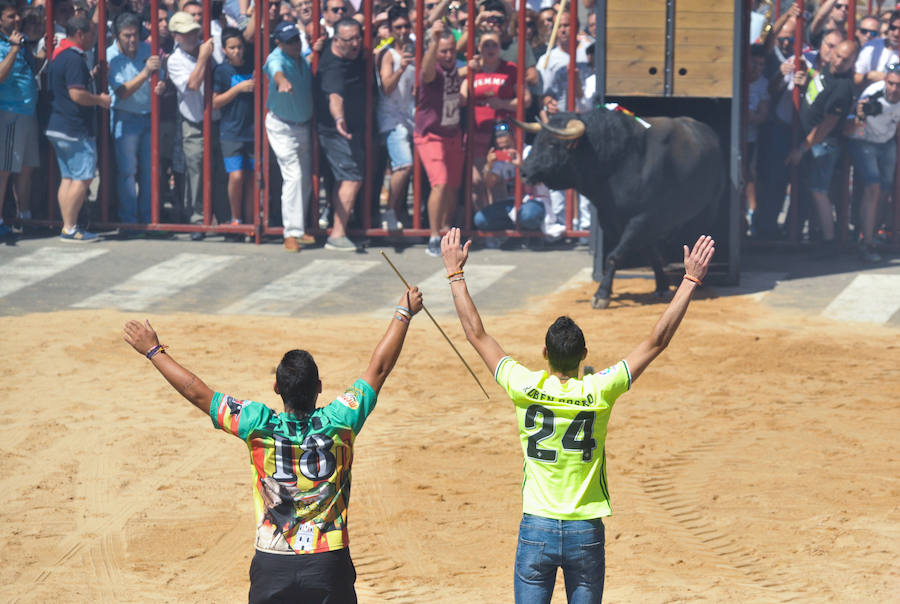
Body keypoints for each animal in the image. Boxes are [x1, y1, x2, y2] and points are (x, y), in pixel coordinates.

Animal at [520, 107, 724, 312]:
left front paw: (602, 294)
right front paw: (662, 286)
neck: (617, 162)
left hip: (708, 208)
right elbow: (650, 252)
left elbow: (615, 256)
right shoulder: (613, 218)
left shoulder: (642, 218)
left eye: (552, 144)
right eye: (536, 140)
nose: (524, 171)